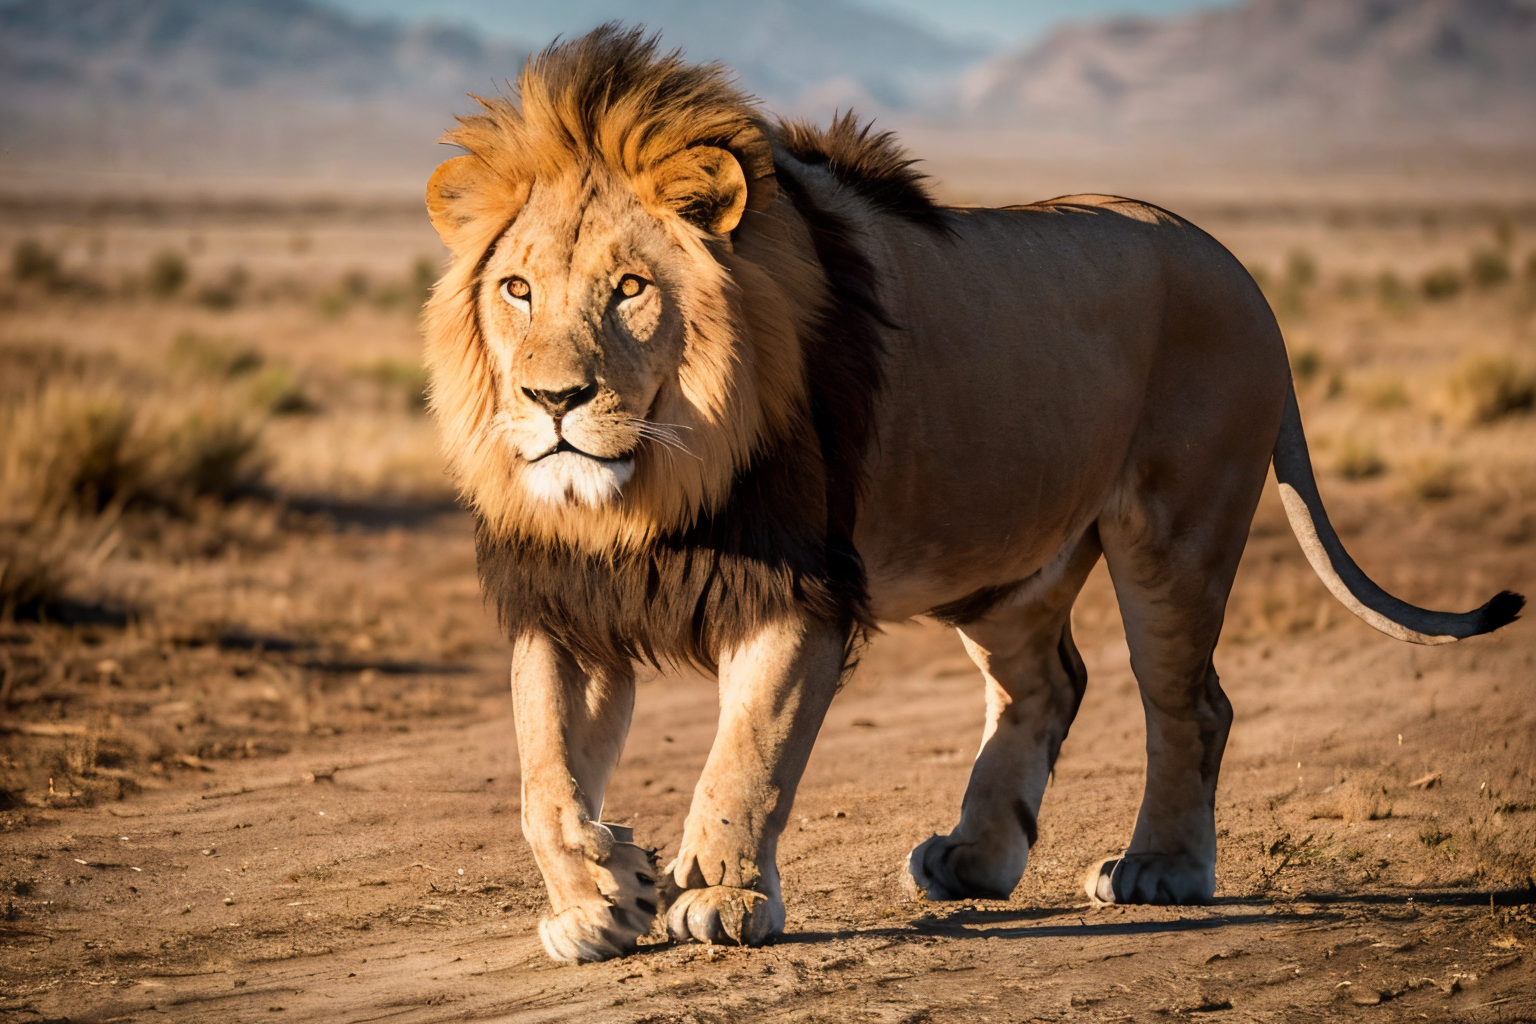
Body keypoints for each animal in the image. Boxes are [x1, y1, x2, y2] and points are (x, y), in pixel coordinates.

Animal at [421, 27, 1524, 963]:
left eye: (631, 289)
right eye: (517, 289)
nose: (552, 400)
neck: (645, 489)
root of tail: (1244, 276)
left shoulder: (800, 594)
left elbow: (746, 754)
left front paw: (718, 896)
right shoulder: (567, 600)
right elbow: (542, 780)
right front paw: (601, 893)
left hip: (1176, 530)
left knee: (1190, 702)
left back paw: (1160, 868)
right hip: (1003, 563)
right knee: (1048, 684)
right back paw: (974, 859)